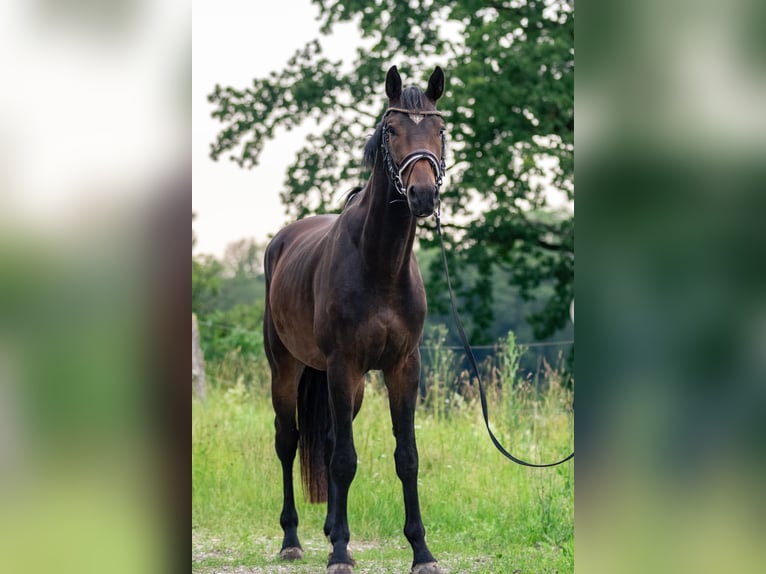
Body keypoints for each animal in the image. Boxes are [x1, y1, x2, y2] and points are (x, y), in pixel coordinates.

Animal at [264, 65, 448, 574]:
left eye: (440, 129)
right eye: (392, 129)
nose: (422, 194)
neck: (379, 264)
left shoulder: (402, 367)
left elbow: (406, 456)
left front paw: (421, 551)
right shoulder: (343, 364)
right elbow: (346, 460)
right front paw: (341, 554)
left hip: (351, 384)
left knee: (326, 443)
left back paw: (328, 531)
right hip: (287, 370)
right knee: (289, 441)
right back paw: (293, 539)